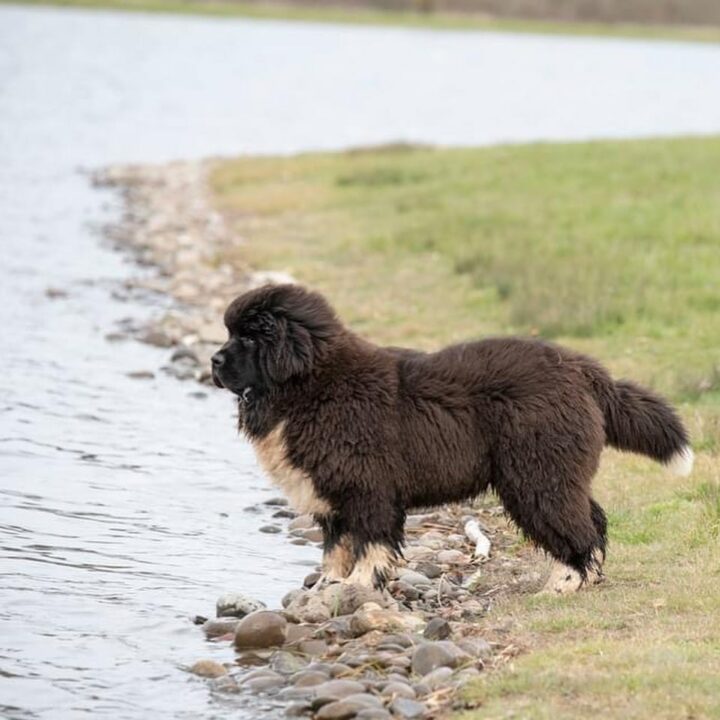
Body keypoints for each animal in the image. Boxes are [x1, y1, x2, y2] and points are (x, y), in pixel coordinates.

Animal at [211, 284, 696, 592]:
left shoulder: (366, 487)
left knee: (575, 526)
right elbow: (338, 545)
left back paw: (564, 583)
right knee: (592, 517)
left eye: (250, 337)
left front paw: (360, 584)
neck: (312, 384)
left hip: (535, 473)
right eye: (232, 333)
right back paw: (584, 577)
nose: (214, 362)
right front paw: (330, 583)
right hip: (555, 470)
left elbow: (370, 541)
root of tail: (581, 368)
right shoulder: (332, 494)